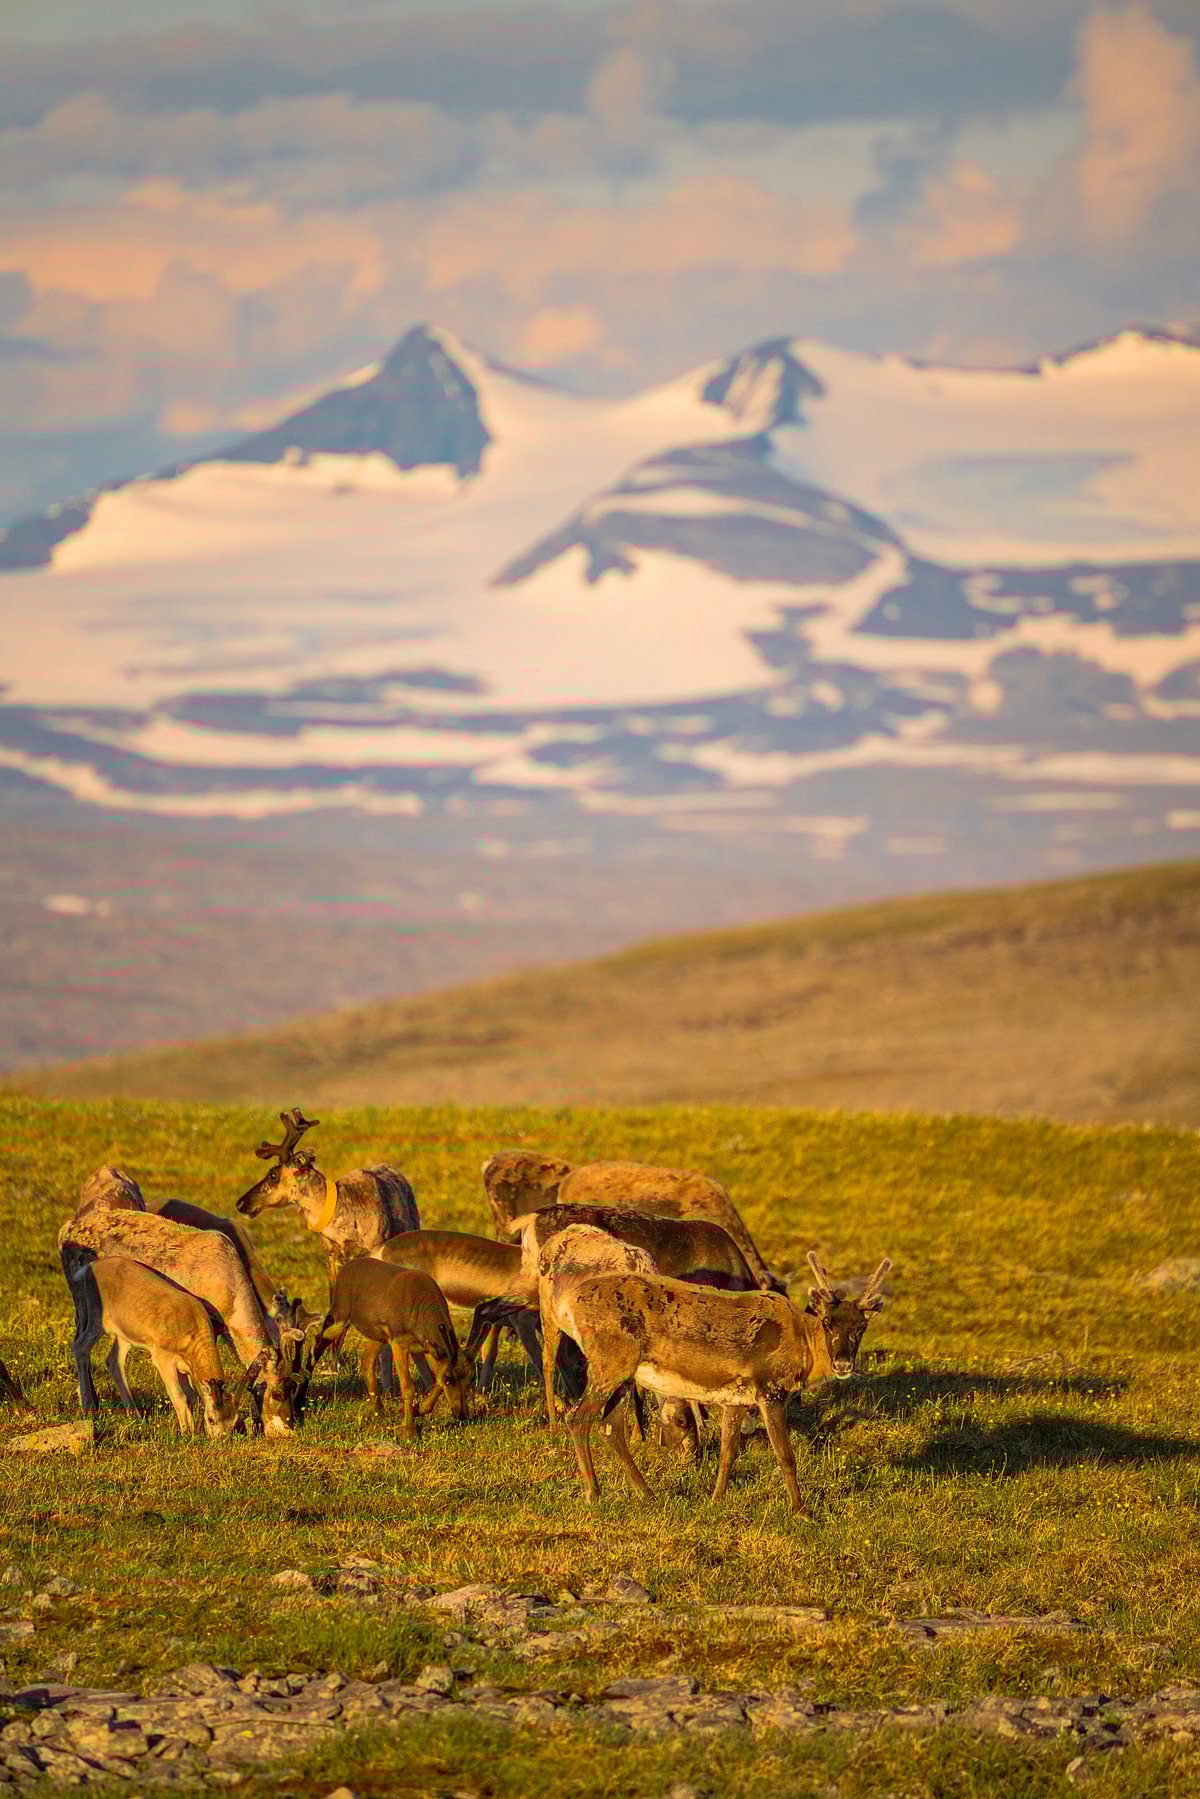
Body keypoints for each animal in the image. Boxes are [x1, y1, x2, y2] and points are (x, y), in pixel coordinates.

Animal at [69, 1257, 243, 1436]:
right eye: (211, 1419)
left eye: (233, 1422)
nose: (217, 1439)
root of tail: (90, 1267)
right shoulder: (163, 1358)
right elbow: (179, 1395)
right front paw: (185, 1432)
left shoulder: (183, 1367)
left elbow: (191, 1395)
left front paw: (192, 1429)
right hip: (98, 1321)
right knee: (80, 1346)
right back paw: (88, 1409)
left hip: (124, 1335)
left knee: (113, 1361)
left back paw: (136, 1418)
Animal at [307, 1257, 474, 1436]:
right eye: (449, 1379)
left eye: (470, 1379)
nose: (462, 1414)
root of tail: (345, 1268)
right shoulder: (398, 1340)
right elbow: (408, 1387)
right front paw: (410, 1432)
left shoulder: (429, 1347)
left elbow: (436, 1381)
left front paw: (419, 1409)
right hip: (340, 1315)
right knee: (319, 1339)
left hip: (377, 1335)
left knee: (366, 1361)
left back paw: (379, 1410)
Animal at [558, 1250, 892, 1511]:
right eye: (828, 1323)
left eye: (861, 1327)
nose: (843, 1363)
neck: (802, 1346)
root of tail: (567, 1305)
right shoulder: (770, 1389)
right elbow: (785, 1455)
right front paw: (801, 1511)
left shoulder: (737, 1396)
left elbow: (727, 1453)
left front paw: (716, 1500)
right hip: (610, 1360)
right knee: (578, 1417)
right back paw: (593, 1493)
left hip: (624, 1373)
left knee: (611, 1426)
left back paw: (647, 1493)